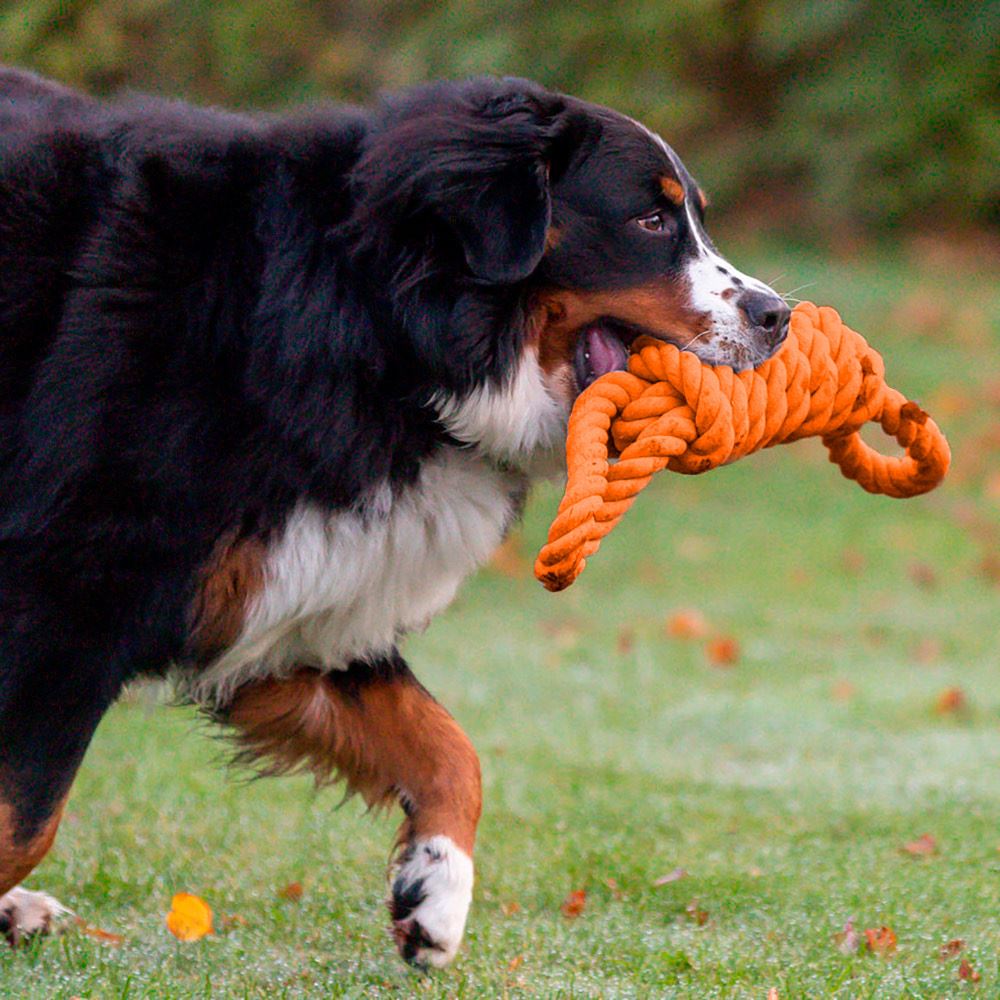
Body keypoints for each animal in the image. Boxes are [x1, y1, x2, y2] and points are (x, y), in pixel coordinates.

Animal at [1, 68, 788, 968]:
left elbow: (444, 747)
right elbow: (25, 820)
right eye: (650, 220)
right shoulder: (66, 602)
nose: (778, 315)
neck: (369, 326)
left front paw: (433, 892)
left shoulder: (290, 597)